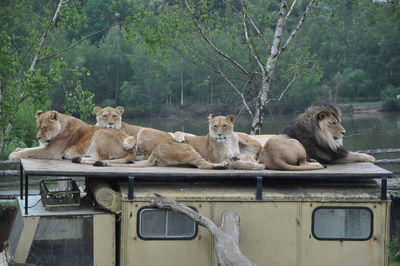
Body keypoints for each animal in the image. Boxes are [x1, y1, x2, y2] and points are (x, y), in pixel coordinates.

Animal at [8, 110, 137, 164]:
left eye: (44, 127)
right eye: (37, 127)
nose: (38, 138)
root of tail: (132, 150)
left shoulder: (52, 152)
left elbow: (31, 151)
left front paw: (13, 155)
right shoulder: (46, 147)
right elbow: (30, 148)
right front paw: (17, 149)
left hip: (100, 133)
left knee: (103, 158)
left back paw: (83, 159)